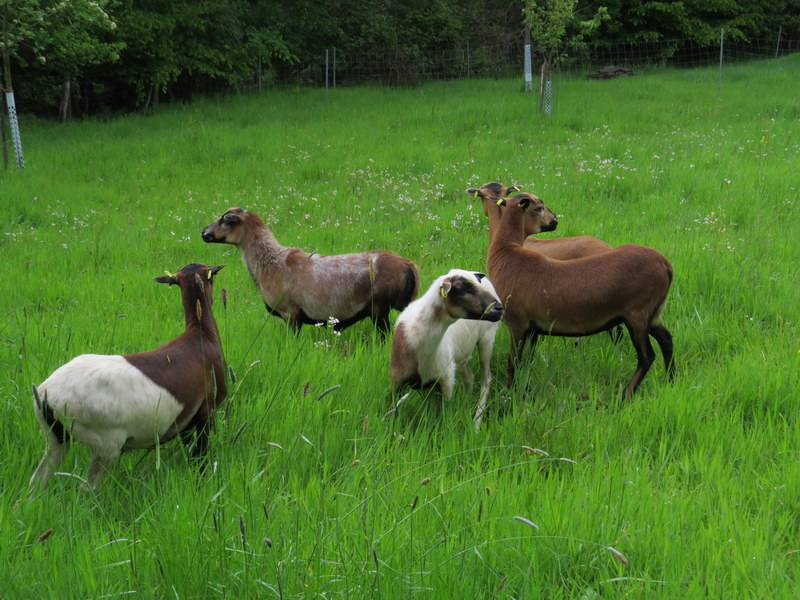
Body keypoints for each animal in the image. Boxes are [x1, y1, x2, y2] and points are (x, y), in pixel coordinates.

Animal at [29, 264, 227, 490]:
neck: (201, 333)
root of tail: (46, 396)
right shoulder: (206, 410)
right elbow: (199, 458)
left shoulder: (185, 420)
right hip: (105, 443)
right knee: (87, 487)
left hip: (56, 437)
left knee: (38, 479)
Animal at [202, 209, 418, 332]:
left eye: (224, 220)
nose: (203, 232)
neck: (270, 262)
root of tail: (409, 265)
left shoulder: (290, 314)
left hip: (380, 308)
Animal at [390, 270, 506, 428]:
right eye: (463, 287)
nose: (499, 308)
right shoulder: (397, 383)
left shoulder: (446, 383)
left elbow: (443, 419)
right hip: (461, 354)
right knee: (469, 378)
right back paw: (465, 404)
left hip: (487, 339)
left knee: (486, 379)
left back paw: (476, 423)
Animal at [488, 193, 676, 398]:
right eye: (539, 208)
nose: (555, 221)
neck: (506, 251)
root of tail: (665, 265)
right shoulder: (532, 328)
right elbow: (525, 362)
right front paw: (524, 390)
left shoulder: (517, 323)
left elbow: (513, 362)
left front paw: (512, 394)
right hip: (652, 312)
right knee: (666, 339)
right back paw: (671, 381)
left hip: (637, 313)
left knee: (646, 356)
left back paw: (625, 395)